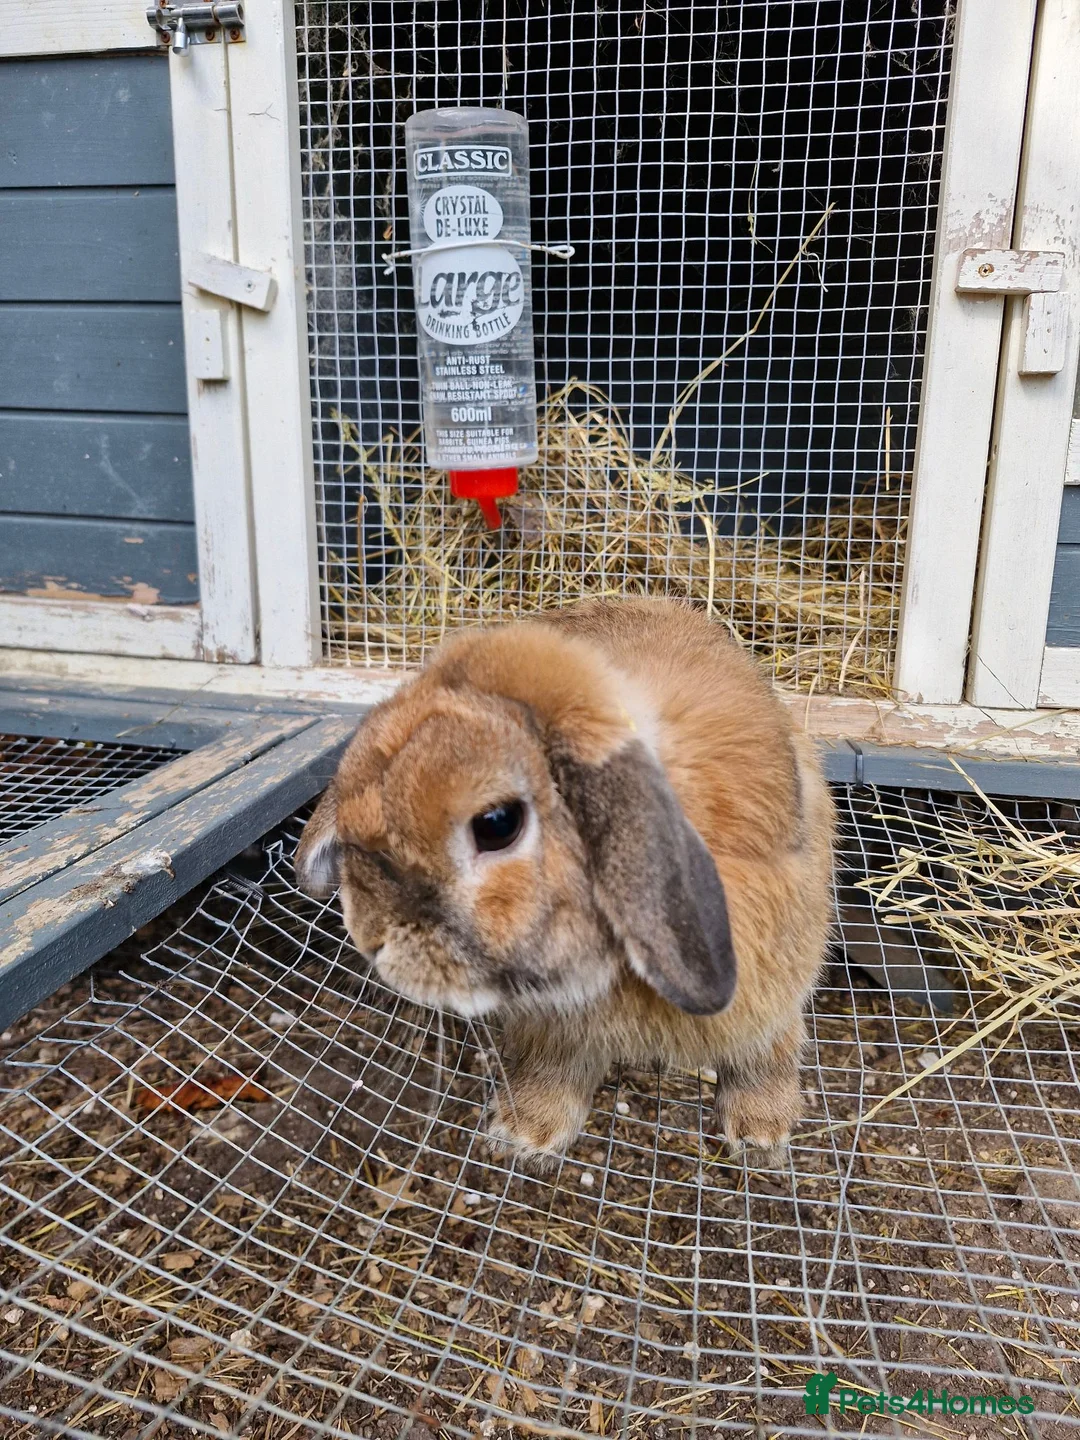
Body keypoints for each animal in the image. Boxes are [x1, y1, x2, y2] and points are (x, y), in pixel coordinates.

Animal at [295, 596, 836, 1167]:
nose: (369, 938)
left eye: (496, 824)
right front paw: (524, 1134)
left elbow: (764, 1047)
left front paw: (762, 1132)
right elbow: (554, 1063)